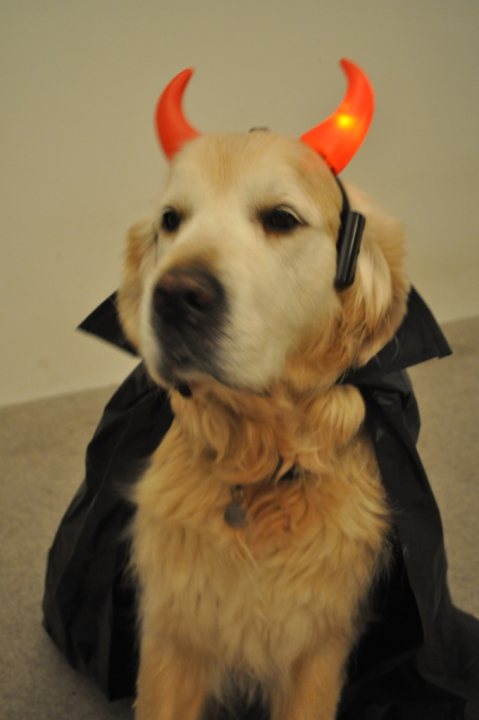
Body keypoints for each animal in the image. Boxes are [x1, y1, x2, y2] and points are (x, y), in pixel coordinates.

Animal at [118, 63, 410, 720]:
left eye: (281, 218)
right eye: (171, 220)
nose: (176, 296)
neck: (257, 464)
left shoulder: (319, 643)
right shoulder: (173, 630)